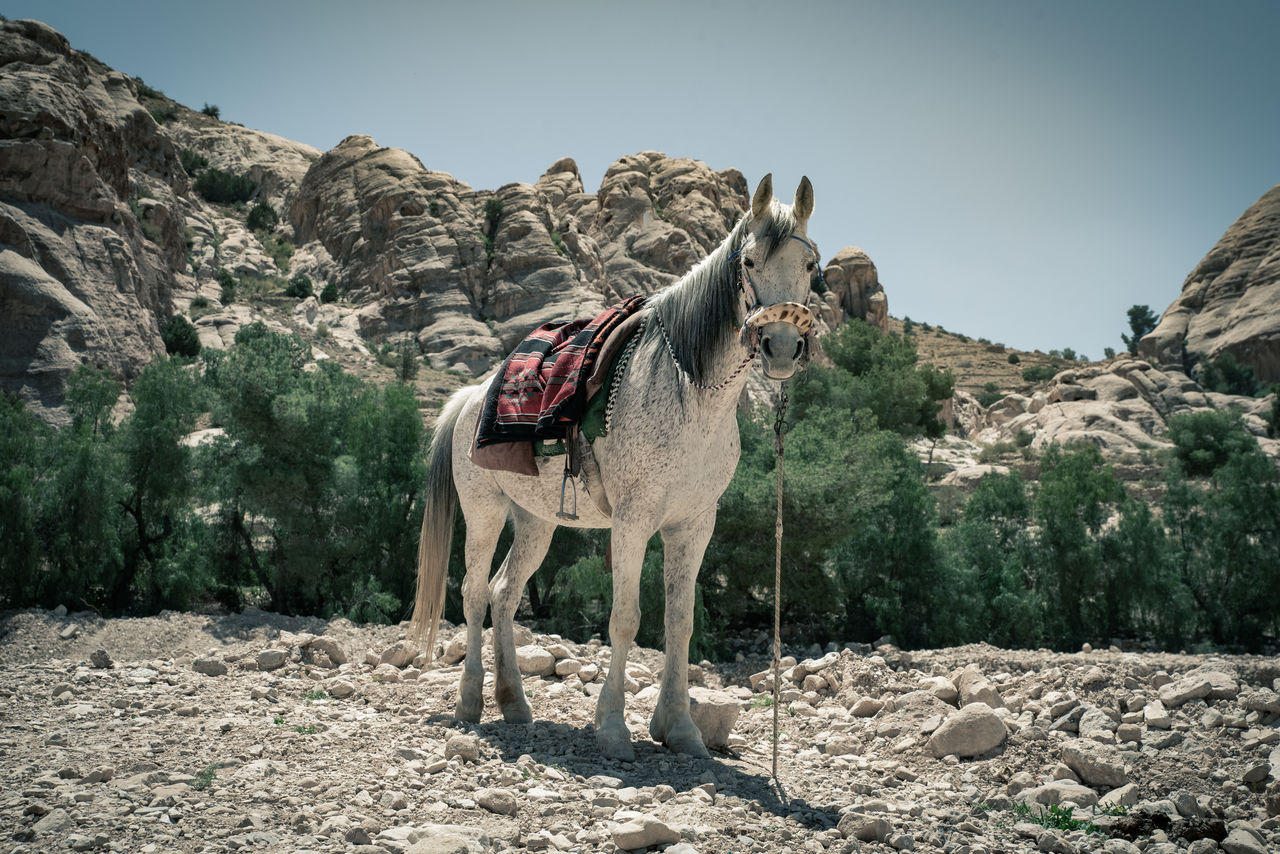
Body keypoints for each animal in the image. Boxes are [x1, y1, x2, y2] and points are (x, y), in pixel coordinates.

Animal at [419, 175, 819, 763]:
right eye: (748, 261)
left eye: (811, 265)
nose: (783, 346)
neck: (692, 394)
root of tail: (472, 395)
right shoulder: (633, 521)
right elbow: (625, 618)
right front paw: (612, 728)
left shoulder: (693, 525)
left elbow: (680, 622)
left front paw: (680, 728)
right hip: (485, 511)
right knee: (472, 594)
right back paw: (470, 703)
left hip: (536, 523)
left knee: (504, 594)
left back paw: (514, 703)